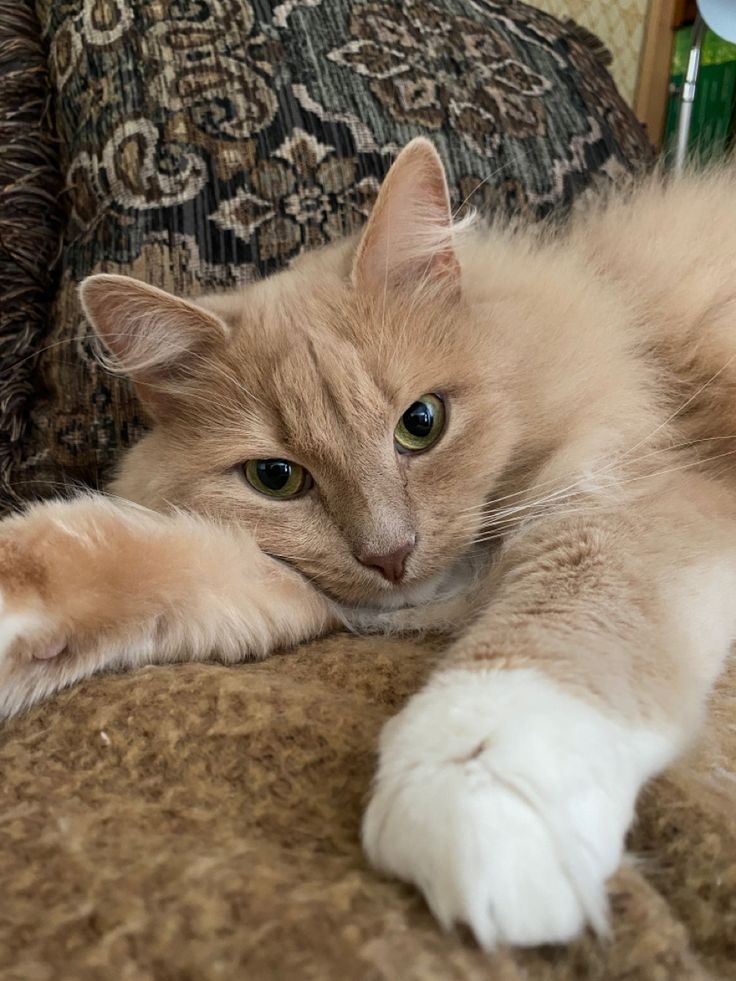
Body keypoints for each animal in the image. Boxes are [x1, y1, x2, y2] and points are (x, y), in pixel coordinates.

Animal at [1, 138, 736, 948]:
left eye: (422, 422)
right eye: (276, 477)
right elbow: (125, 558)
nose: (390, 554)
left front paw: (477, 785)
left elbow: (567, 617)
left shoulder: (645, 493)